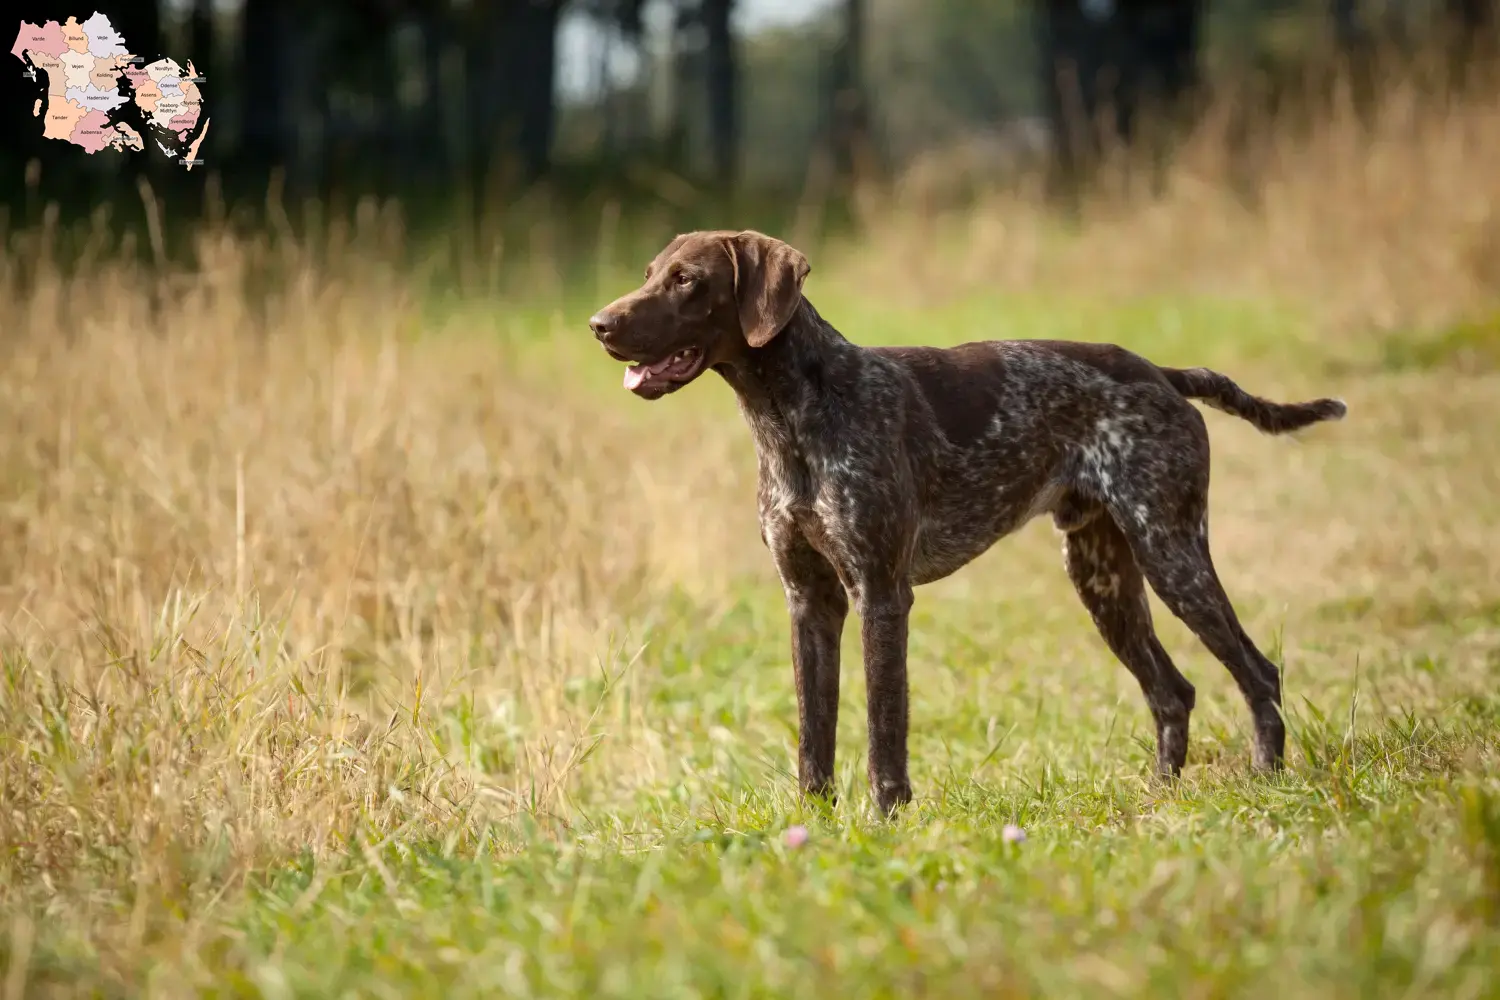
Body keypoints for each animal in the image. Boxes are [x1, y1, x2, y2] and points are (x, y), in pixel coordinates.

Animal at [585, 230, 1350, 815]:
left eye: (688, 280)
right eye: (649, 274)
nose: (599, 324)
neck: (792, 416)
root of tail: (1162, 373)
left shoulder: (881, 596)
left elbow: (883, 729)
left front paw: (887, 820)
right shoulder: (809, 602)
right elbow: (814, 736)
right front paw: (812, 826)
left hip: (1171, 552)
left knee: (1257, 672)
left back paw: (1267, 780)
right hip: (1103, 577)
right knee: (1173, 693)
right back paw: (1159, 796)